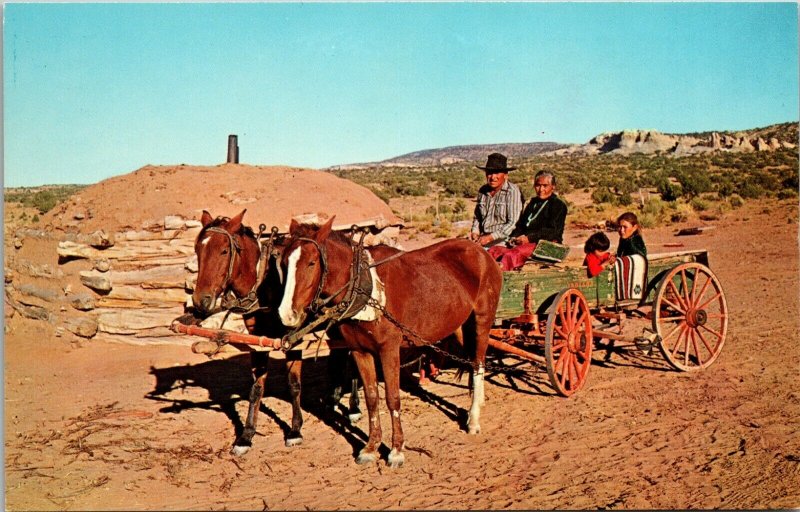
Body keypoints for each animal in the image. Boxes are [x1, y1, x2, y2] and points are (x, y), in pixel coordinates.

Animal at [192, 208, 360, 456]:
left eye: (224, 251)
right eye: (198, 250)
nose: (200, 301)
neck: (266, 283)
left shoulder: (293, 340)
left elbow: (294, 385)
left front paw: (295, 430)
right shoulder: (258, 342)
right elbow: (256, 388)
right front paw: (246, 435)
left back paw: (354, 407)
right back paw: (334, 396)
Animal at [276, 216, 500, 468]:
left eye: (312, 263)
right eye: (283, 263)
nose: (287, 314)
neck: (365, 289)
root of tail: (481, 251)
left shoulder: (389, 350)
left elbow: (392, 399)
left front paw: (396, 450)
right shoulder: (359, 351)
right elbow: (372, 398)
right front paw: (371, 447)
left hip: (482, 321)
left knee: (478, 365)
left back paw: (473, 419)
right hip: (460, 326)